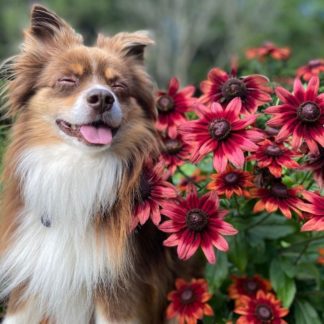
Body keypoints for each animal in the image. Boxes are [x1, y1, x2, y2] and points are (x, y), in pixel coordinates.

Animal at [0, 5, 190, 324]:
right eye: (67, 80)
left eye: (118, 86)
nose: (102, 98)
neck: (77, 167)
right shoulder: (30, 285)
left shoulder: (119, 294)